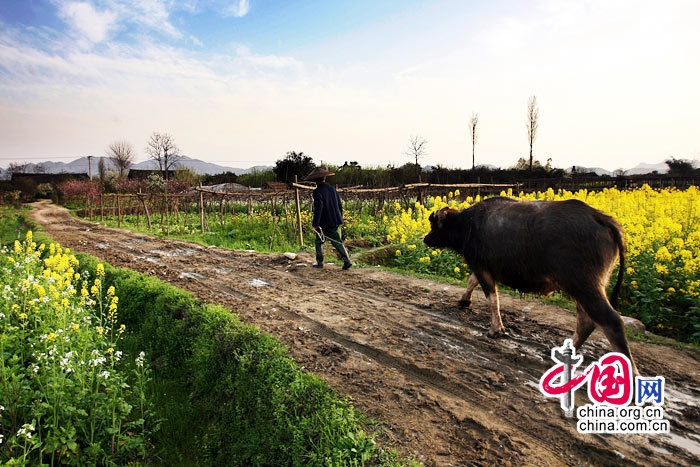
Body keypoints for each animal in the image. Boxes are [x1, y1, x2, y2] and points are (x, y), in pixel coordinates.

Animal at [424, 199, 636, 374]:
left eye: (434, 225)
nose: (426, 239)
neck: (467, 225)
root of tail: (601, 218)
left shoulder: (481, 266)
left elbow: (492, 298)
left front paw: (495, 330)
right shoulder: (483, 267)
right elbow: (471, 281)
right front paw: (464, 301)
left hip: (584, 286)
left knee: (610, 322)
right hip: (585, 287)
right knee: (586, 321)